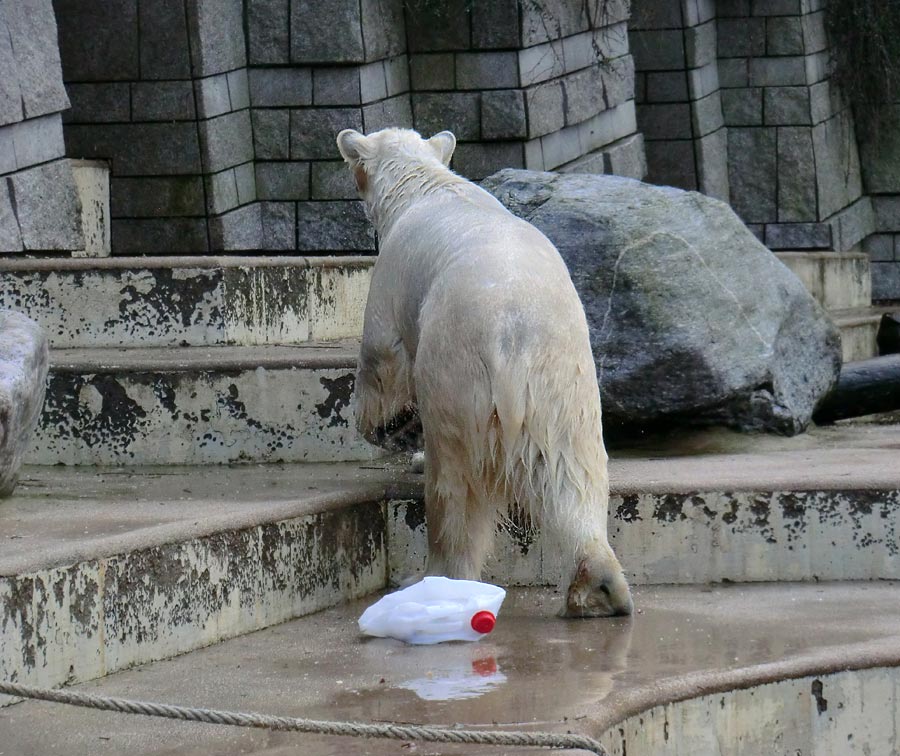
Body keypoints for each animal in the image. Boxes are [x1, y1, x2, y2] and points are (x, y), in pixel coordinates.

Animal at [338, 127, 632, 616]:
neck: (424, 186)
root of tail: (510, 338)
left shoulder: (392, 280)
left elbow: (383, 359)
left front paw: (387, 429)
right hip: (563, 380)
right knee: (575, 470)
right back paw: (601, 586)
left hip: (457, 374)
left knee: (455, 488)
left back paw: (439, 576)